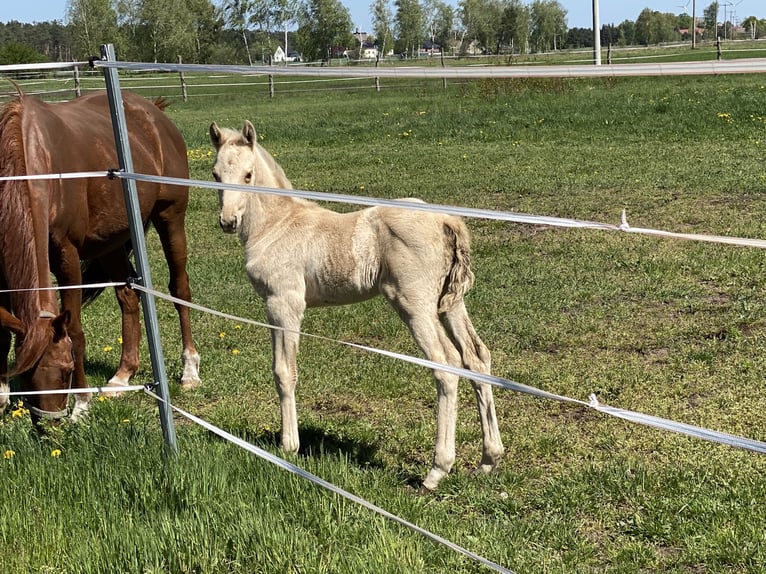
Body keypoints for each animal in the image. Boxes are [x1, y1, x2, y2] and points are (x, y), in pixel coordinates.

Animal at [0, 90, 201, 420]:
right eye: (25, 374)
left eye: (67, 369)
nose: (50, 423)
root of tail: (154, 111)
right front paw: (2, 396)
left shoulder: (66, 256)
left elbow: (76, 332)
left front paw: (82, 404)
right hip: (110, 244)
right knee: (128, 297)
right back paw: (123, 375)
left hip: (170, 218)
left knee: (179, 288)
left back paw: (190, 370)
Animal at [209, 120, 504, 490]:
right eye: (215, 174)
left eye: (248, 175)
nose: (228, 222)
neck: (277, 224)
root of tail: (445, 221)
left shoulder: (283, 303)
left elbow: (283, 372)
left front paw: (289, 447)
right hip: (449, 303)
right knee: (476, 358)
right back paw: (488, 460)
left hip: (413, 304)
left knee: (447, 365)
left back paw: (436, 471)